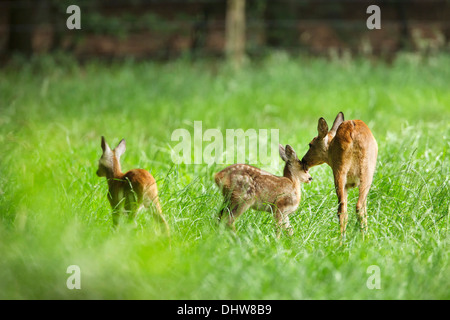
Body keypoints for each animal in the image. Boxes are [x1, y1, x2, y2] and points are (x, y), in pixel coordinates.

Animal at [300, 111, 378, 239]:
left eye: (310, 144)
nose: (303, 160)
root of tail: (352, 132)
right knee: (356, 207)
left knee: (344, 209)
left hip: (344, 170)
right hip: (364, 171)